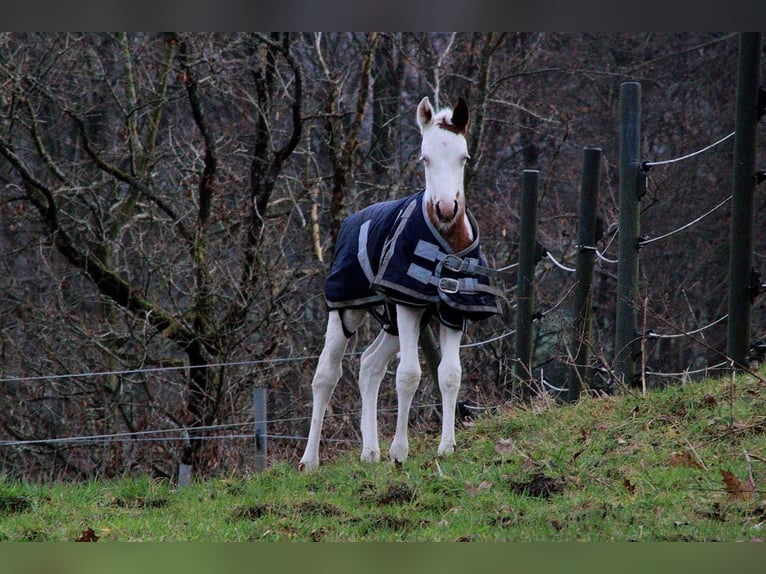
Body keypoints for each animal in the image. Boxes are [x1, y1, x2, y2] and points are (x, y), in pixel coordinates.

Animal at [296, 95, 500, 472]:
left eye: (463, 157)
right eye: (425, 157)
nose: (446, 208)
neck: (446, 248)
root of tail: (352, 219)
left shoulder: (453, 312)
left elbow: (450, 374)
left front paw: (446, 446)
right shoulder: (408, 304)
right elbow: (409, 375)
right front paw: (400, 451)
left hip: (394, 322)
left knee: (369, 365)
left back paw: (369, 451)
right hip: (347, 309)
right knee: (326, 373)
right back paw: (310, 460)